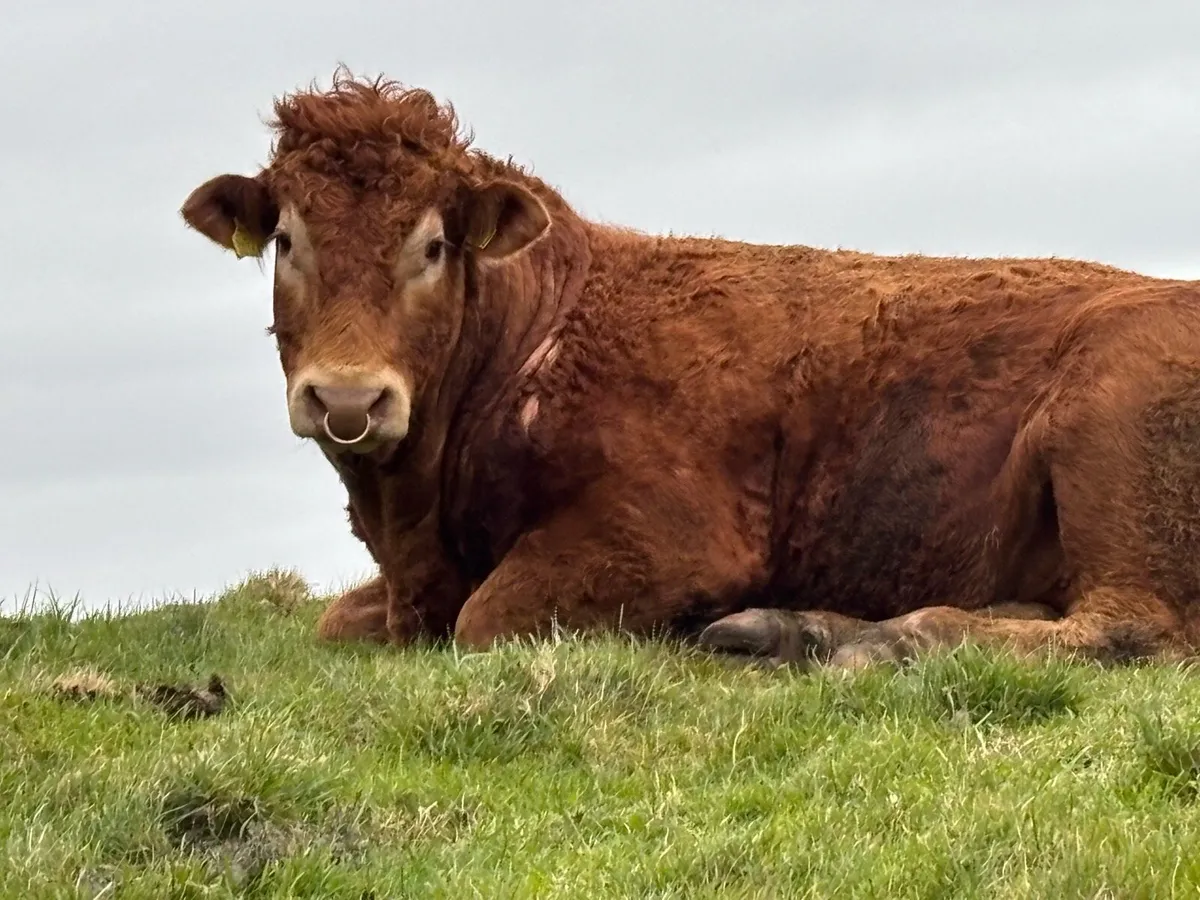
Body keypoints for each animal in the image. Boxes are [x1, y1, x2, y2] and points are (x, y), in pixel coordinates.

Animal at [179, 69, 1200, 671]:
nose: (347, 396)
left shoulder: (665, 536)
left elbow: (485, 621)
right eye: (287, 239)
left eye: (432, 245)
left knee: (1130, 627)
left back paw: (863, 639)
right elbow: (334, 621)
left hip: (1108, 427)